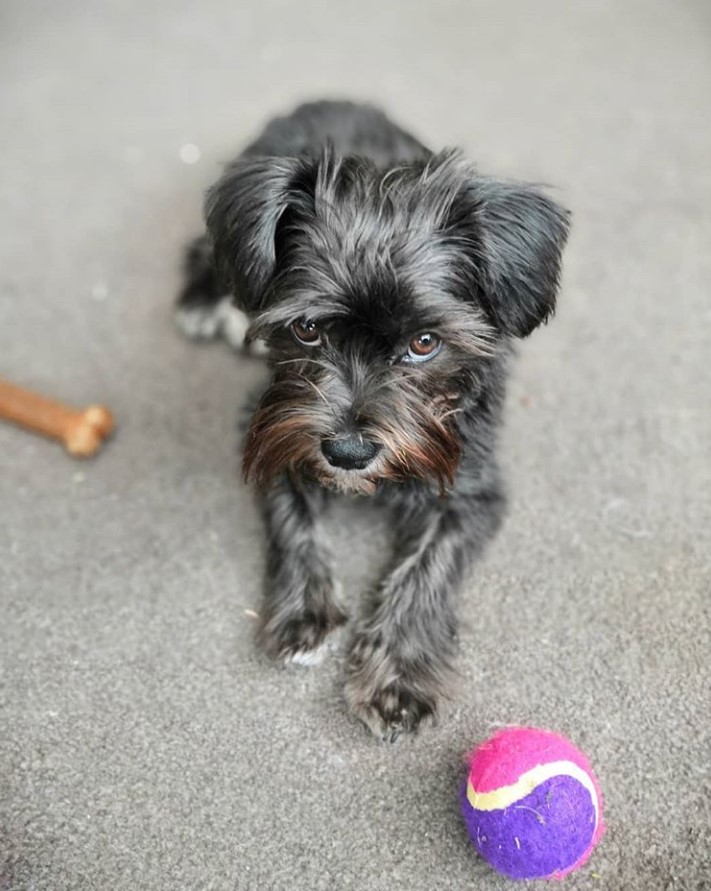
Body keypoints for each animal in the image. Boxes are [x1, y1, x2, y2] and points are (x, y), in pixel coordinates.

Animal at [178, 101, 572, 744]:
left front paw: (400, 678)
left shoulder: (470, 488)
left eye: (425, 342)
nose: (347, 452)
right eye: (307, 329)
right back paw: (201, 302)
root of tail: (327, 99)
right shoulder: (271, 426)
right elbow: (291, 516)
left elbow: (425, 571)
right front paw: (304, 610)